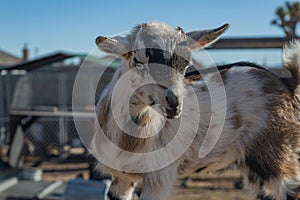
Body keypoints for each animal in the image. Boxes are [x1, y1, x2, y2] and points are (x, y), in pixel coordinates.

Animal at [92, 21, 300, 199]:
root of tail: (287, 84)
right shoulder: (122, 178)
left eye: (185, 64)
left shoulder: (158, 177)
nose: (174, 103)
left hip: (278, 156)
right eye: (138, 61)